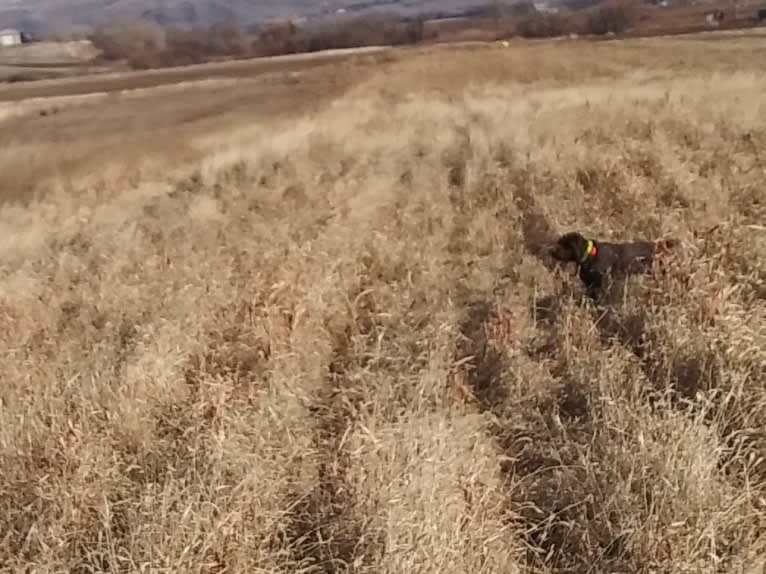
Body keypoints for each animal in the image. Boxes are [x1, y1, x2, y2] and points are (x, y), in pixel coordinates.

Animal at [552, 232, 680, 300]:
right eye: (559, 242)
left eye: (566, 245)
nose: (551, 250)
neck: (590, 255)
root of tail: (655, 245)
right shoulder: (590, 286)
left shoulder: (600, 286)